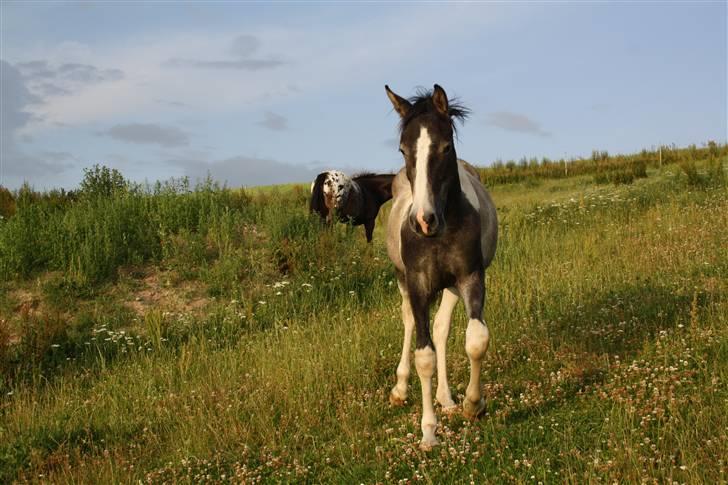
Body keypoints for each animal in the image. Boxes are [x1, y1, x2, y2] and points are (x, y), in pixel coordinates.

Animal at [384, 84, 498, 450]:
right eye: (403, 149)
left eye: (445, 147)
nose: (423, 220)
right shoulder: (419, 285)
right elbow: (424, 356)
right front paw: (428, 432)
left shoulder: (470, 277)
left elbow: (475, 339)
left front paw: (473, 404)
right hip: (404, 281)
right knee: (409, 322)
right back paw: (400, 389)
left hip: (449, 287)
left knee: (441, 329)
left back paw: (446, 398)